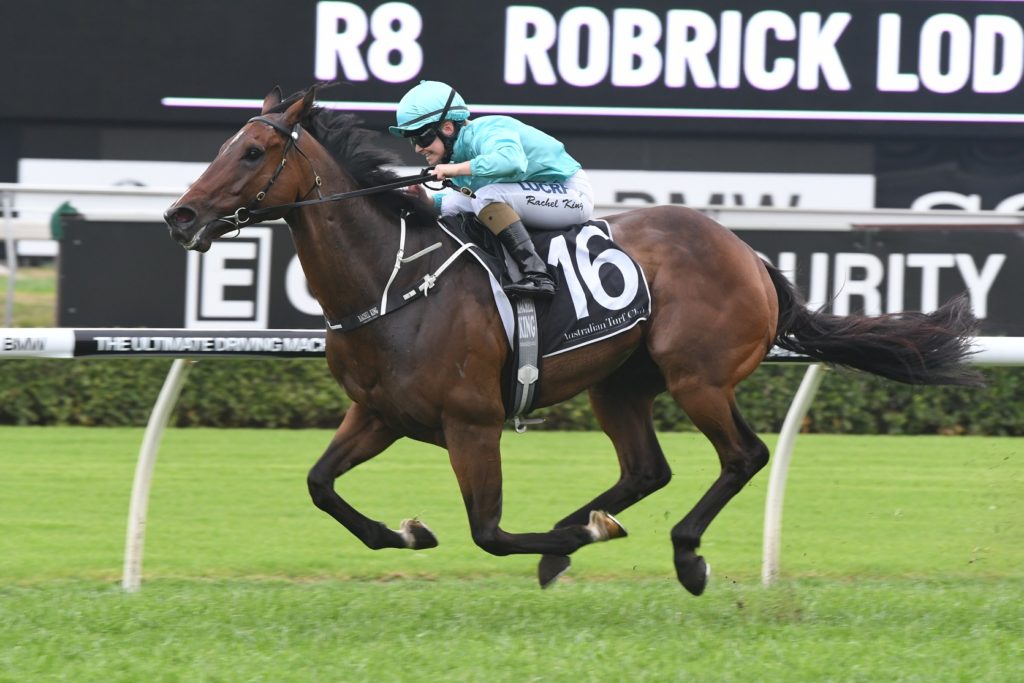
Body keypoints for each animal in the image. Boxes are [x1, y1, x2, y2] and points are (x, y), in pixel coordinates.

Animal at [164, 85, 981, 595]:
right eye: (224, 145)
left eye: (250, 152)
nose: (180, 215)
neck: (390, 283)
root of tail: (749, 253)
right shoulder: (378, 413)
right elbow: (321, 485)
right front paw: (409, 535)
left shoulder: (472, 422)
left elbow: (490, 531)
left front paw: (574, 541)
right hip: (620, 382)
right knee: (648, 468)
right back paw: (583, 527)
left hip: (698, 377)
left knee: (743, 455)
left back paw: (679, 554)